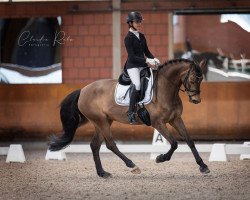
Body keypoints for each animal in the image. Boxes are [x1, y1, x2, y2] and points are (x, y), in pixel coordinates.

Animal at [48, 58, 209, 178]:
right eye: (193, 79)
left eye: (201, 79)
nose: (196, 100)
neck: (165, 90)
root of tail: (82, 90)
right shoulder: (158, 123)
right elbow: (174, 143)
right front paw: (160, 158)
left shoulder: (175, 119)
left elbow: (189, 141)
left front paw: (203, 166)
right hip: (101, 121)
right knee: (110, 144)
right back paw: (133, 166)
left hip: (103, 121)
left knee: (95, 145)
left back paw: (102, 173)